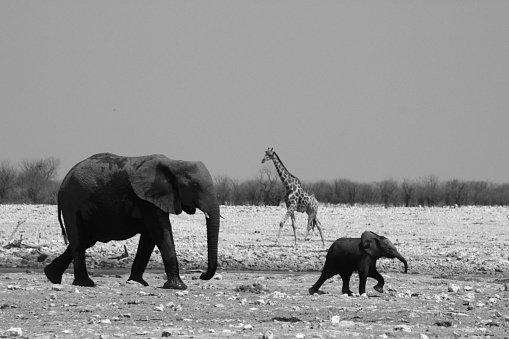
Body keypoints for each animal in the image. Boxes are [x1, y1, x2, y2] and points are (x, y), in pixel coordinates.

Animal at [46, 153, 221, 290]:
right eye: (194, 186)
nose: (202, 275)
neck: (175, 162)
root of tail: (62, 184)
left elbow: (149, 238)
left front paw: (138, 282)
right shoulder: (146, 199)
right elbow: (160, 231)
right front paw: (177, 287)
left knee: (85, 241)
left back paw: (51, 275)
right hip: (73, 201)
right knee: (79, 240)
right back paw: (86, 284)